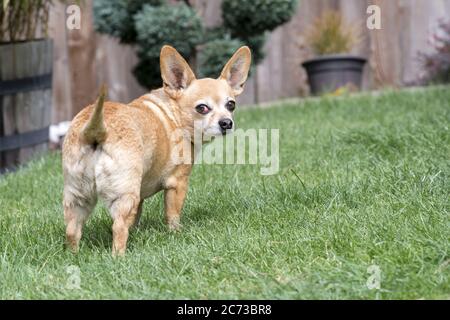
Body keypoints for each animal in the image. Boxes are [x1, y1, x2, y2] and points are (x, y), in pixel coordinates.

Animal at [61, 45, 251, 255]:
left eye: (231, 105)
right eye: (202, 108)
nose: (226, 123)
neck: (173, 113)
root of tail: (96, 132)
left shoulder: (140, 196)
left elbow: (136, 217)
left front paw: (136, 231)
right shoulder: (177, 183)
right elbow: (172, 214)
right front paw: (176, 233)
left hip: (78, 196)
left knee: (72, 230)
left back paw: (74, 255)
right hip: (124, 195)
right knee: (118, 227)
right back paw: (119, 256)